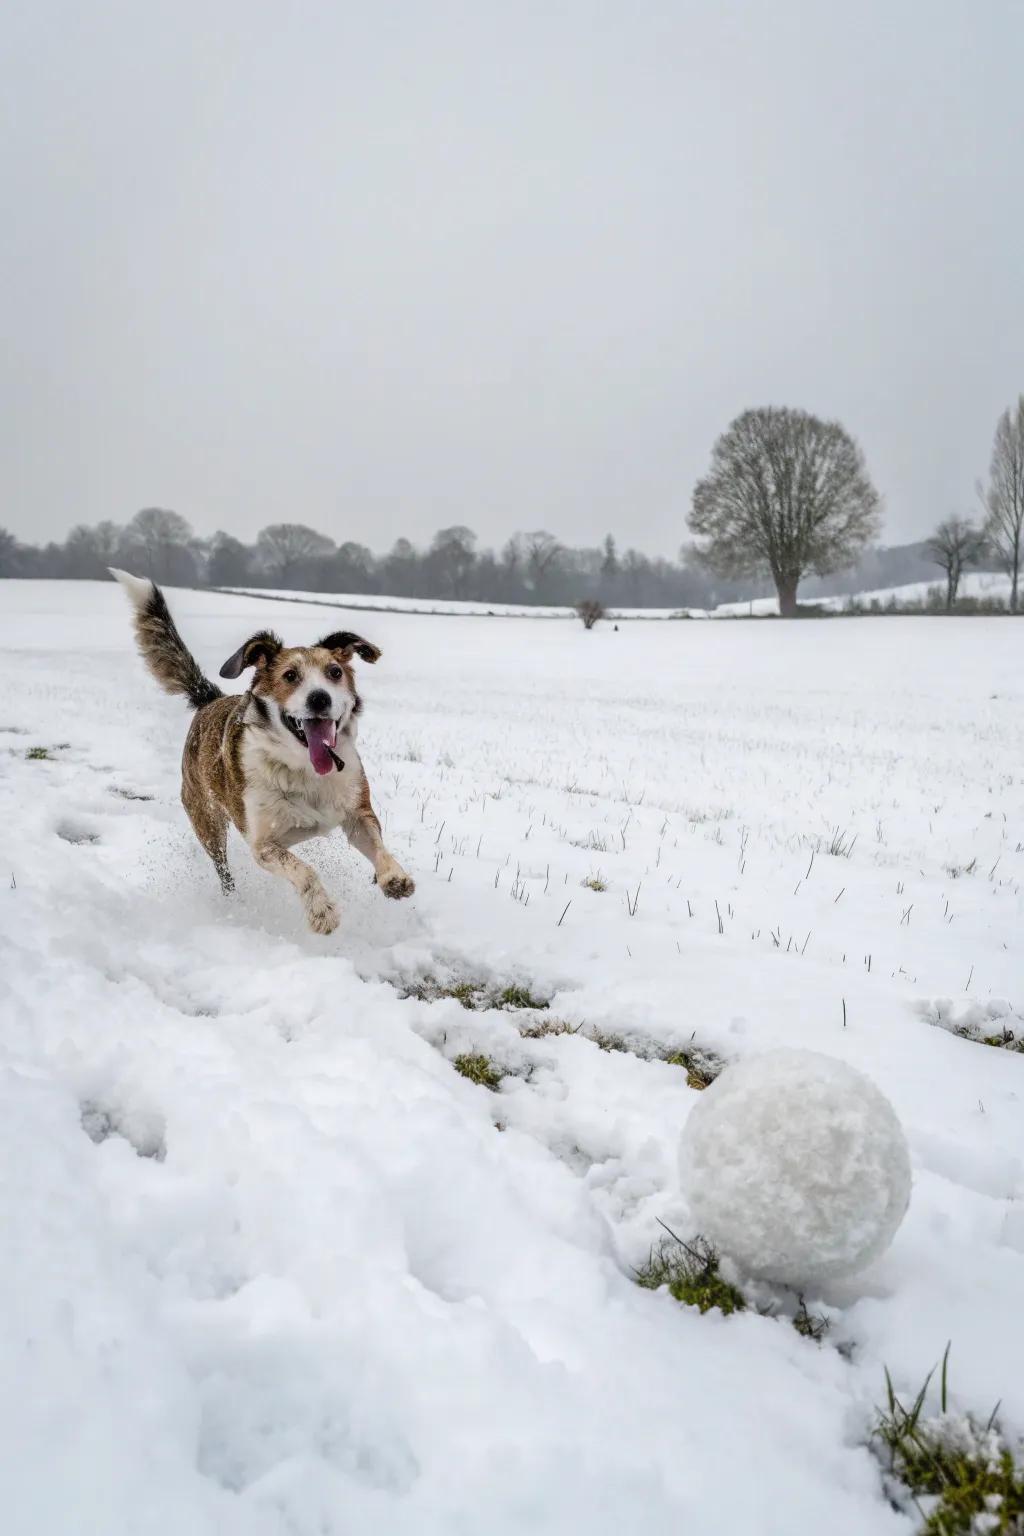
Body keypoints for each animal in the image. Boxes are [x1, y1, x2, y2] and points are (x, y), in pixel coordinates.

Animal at [111, 571, 411, 933]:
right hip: (206, 820)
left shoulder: (356, 811)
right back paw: (234, 902)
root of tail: (210, 699)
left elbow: (377, 844)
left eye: (335, 672)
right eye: (290, 676)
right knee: (223, 869)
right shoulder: (263, 845)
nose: (320, 698)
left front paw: (394, 877)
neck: (304, 767)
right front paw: (321, 911)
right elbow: (303, 870)